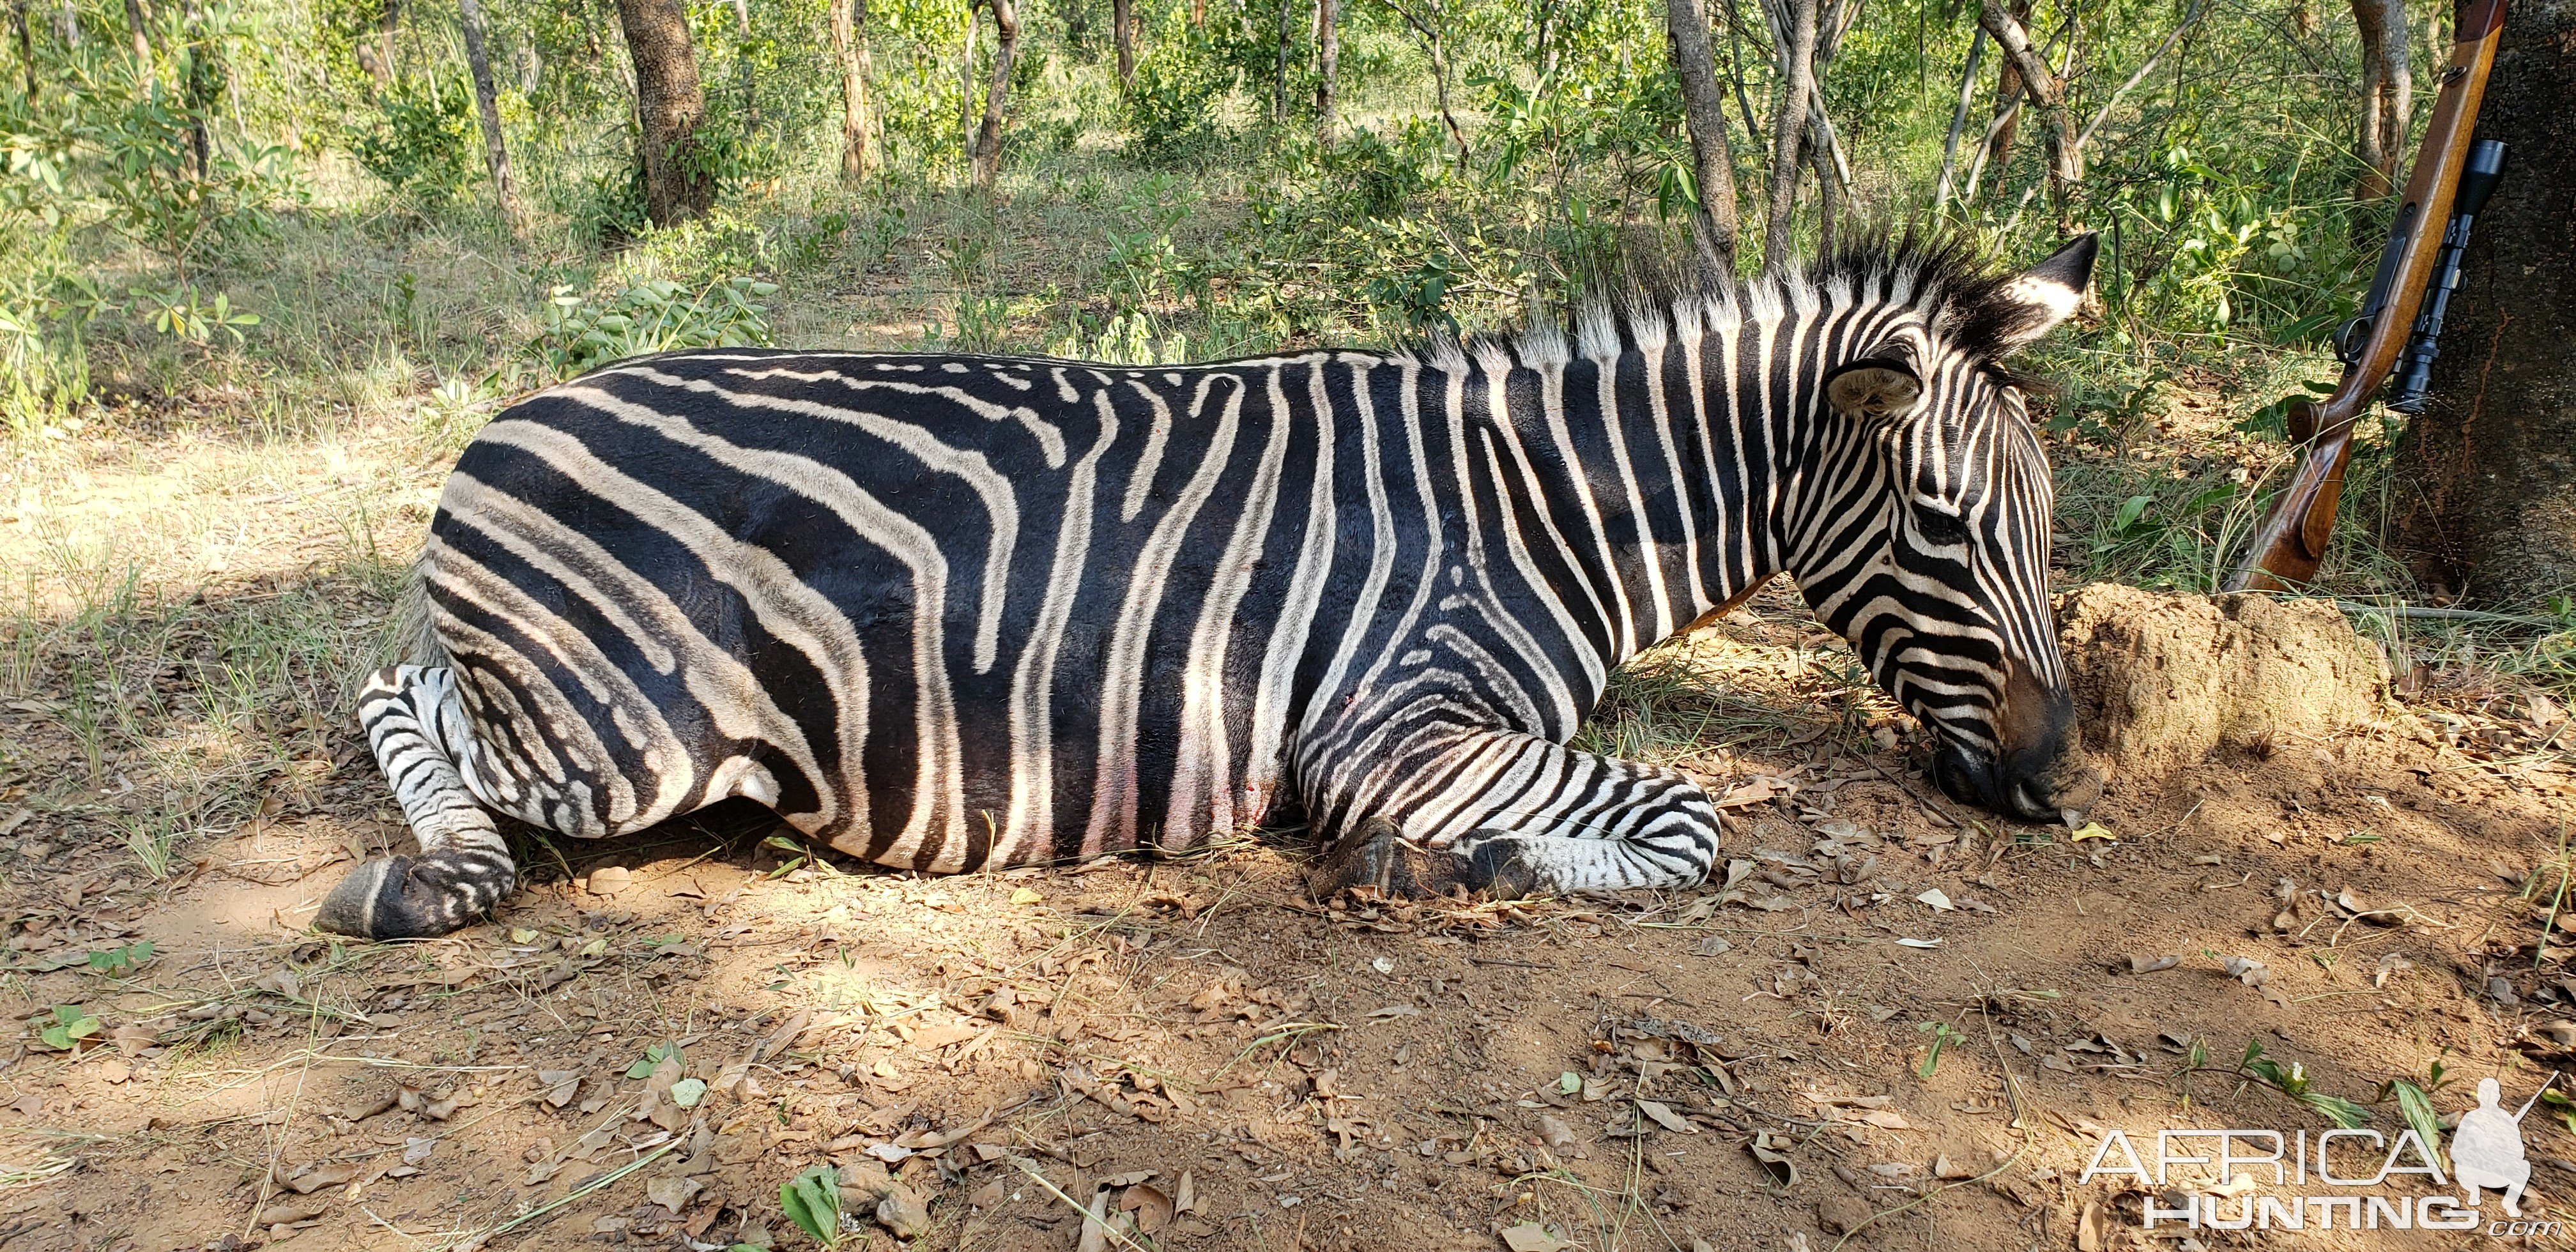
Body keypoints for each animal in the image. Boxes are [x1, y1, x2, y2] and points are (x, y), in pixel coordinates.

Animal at [311, 231, 2102, 937]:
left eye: (2045, 516)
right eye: (1945, 524)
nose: (2053, 772)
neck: (1537, 509)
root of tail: (516, 409)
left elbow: (1674, 814)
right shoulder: (1390, 725)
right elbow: (1692, 820)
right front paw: (1447, 867)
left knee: (407, 683)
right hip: (627, 740)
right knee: (402, 693)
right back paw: (436, 879)